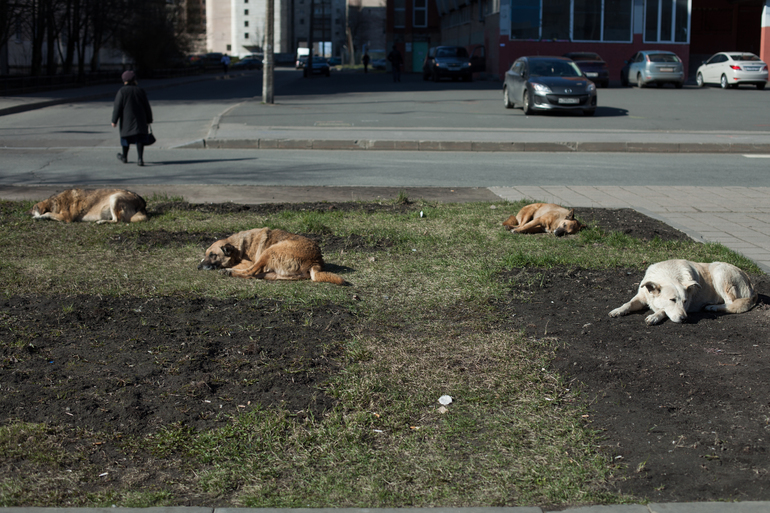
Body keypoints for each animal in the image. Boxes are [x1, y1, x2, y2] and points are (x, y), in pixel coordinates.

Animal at [198, 228, 344, 284]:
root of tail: (316, 261)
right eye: (206, 254)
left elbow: (246, 268)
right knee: (257, 274)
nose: (198, 267)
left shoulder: (248, 262)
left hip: (269, 251)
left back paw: (228, 272)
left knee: (250, 272)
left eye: (213, 255)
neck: (239, 246)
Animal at [608, 258, 760, 326]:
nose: (684, 319)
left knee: (732, 304)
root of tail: (752, 286)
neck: (668, 274)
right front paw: (618, 310)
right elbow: (628, 303)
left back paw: (713, 307)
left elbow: (663, 310)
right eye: (672, 300)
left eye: (685, 301)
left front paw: (655, 316)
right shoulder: (641, 296)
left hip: (719, 272)